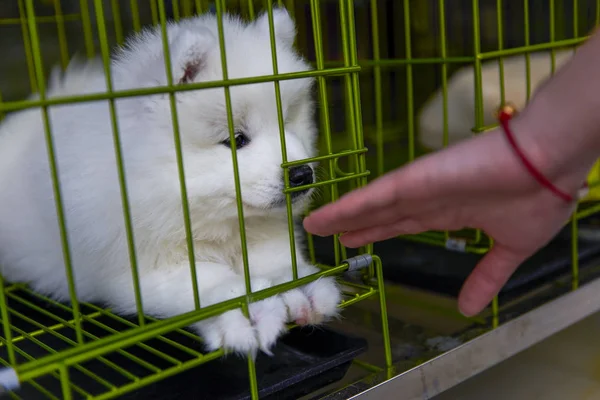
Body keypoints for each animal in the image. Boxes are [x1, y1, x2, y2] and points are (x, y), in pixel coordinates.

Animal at [0, 7, 342, 354]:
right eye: (236, 139)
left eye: (287, 122)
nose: (302, 173)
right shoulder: (143, 267)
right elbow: (208, 283)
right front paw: (247, 312)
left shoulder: (263, 231)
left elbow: (276, 260)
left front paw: (300, 287)